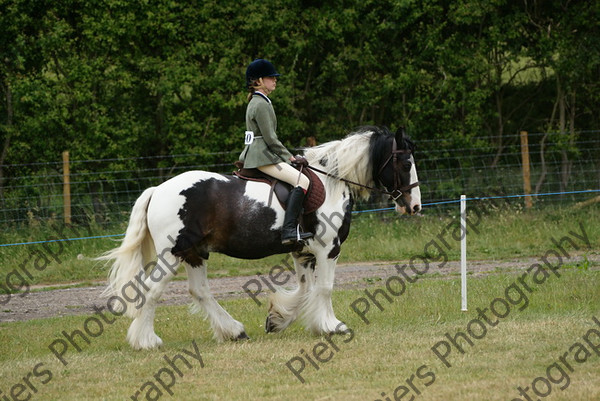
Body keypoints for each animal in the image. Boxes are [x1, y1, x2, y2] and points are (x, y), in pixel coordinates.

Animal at [98, 124, 422, 346]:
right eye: (406, 163)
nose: (415, 206)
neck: (331, 182)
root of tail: (157, 190)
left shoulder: (303, 252)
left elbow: (305, 289)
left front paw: (278, 320)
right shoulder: (328, 249)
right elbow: (325, 288)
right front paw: (332, 326)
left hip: (195, 252)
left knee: (200, 291)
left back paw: (234, 331)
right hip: (172, 254)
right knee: (152, 292)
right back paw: (146, 341)